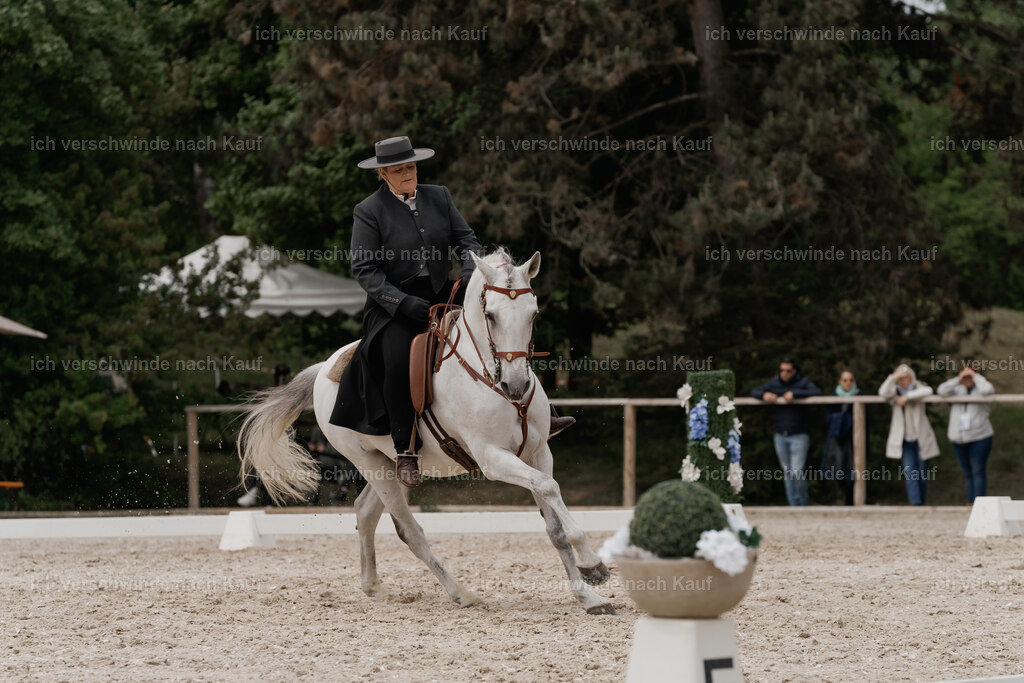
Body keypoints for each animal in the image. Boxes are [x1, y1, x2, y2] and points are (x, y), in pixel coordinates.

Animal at [237, 247, 615, 614]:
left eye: (533, 314)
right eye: (491, 315)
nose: (517, 385)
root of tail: (325, 368)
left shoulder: (538, 453)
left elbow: (553, 523)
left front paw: (588, 595)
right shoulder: (494, 458)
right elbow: (549, 489)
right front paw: (593, 564)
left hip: (389, 464)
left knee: (366, 512)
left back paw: (373, 585)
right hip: (367, 462)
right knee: (409, 530)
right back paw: (461, 593)